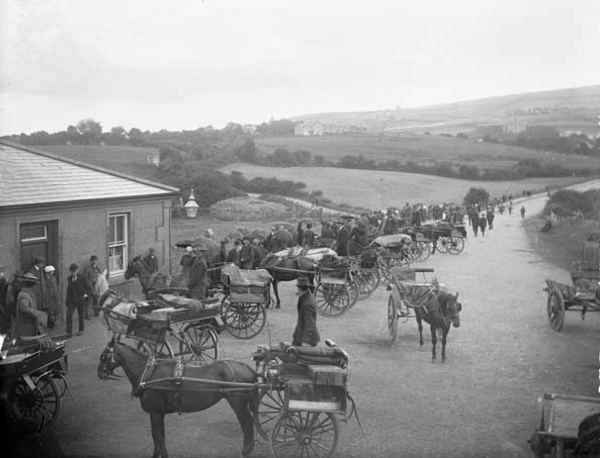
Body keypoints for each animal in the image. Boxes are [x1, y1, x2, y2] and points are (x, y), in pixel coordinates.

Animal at [98, 338, 258, 458]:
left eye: (104, 356)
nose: (99, 374)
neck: (148, 374)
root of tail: (247, 368)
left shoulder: (155, 413)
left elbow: (157, 436)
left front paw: (161, 454)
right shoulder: (158, 414)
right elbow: (158, 436)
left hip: (238, 404)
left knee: (247, 422)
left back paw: (246, 450)